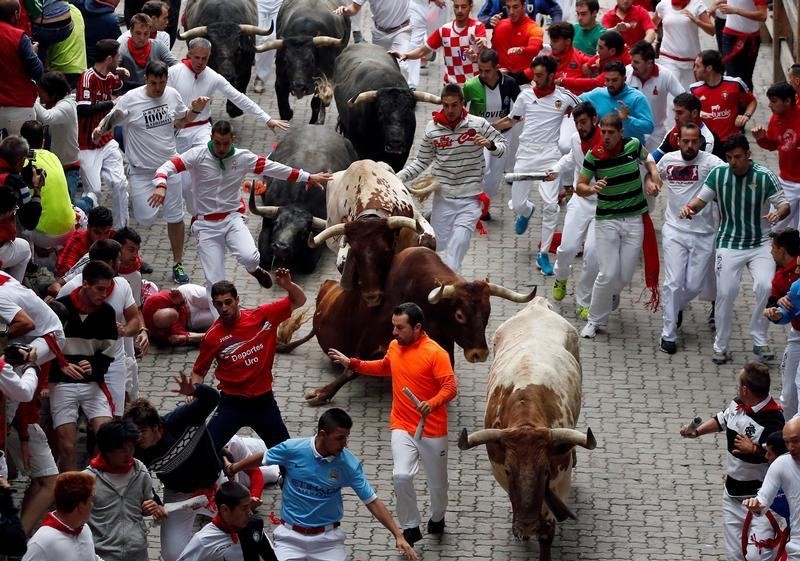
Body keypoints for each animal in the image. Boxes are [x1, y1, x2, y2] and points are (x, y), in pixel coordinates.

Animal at [302, 247, 536, 404]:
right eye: (459, 315)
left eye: (487, 313)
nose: (479, 353)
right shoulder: (370, 337)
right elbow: (352, 368)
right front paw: (321, 393)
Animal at [456, 296, 592, 556]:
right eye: (510, 470)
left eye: (545, 470)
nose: (527, 525)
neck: (526, 418)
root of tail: (537, 304)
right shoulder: (499, 470)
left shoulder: (561, 478)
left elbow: (548, 528)